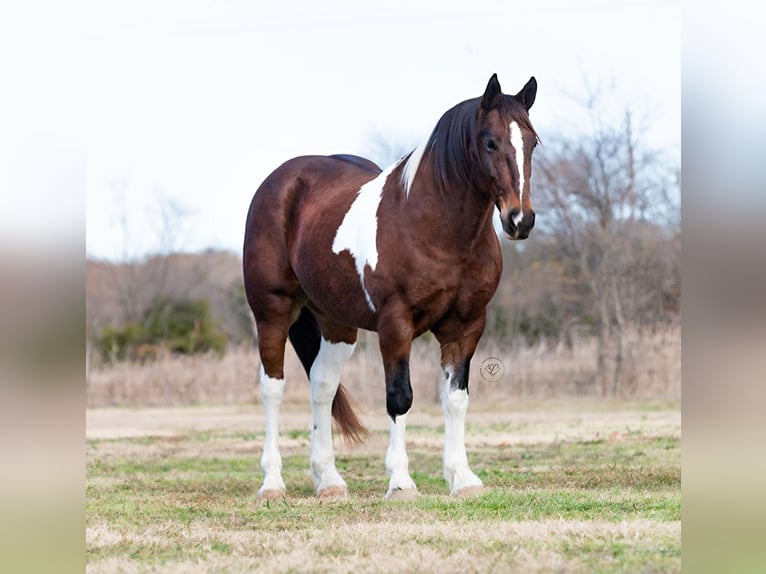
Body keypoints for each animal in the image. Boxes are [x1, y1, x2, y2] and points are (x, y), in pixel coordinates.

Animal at [244, 74, 540, 502]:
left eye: (532, 142)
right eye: (490, 142)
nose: (520, 220)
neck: (433, 226)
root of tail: (280, 183)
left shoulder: (466, 325)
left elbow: (456, 399)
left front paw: (462, 478)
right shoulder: (395, 325)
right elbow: (400, 397)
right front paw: (401, 481)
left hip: (336, 325)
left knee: (322, 385)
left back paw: (329, 481)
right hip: (272, 311)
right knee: (273, 388)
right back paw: (272, 483)